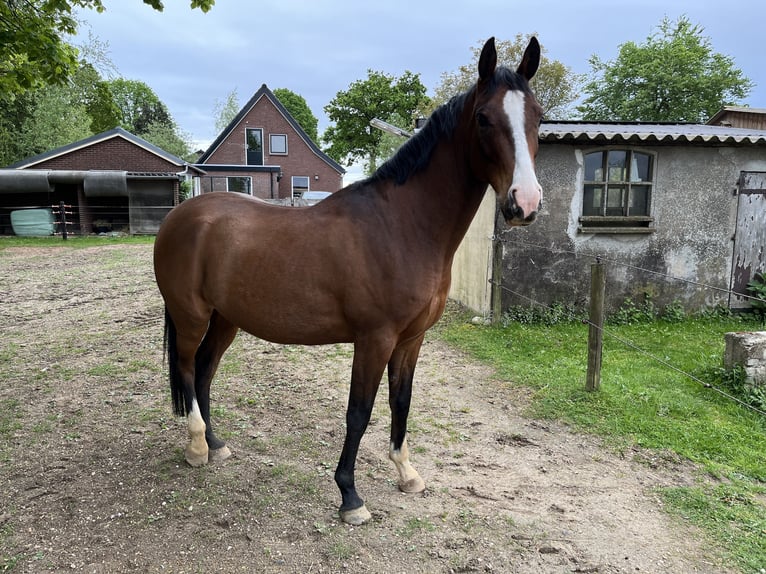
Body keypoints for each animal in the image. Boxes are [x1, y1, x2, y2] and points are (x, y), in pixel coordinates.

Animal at [153, 36, 543, 525]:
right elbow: (358, 412)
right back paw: (195, 447)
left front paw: (406, 473)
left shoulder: (411, 339)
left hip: (226, 318)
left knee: (205, 370)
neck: (402, 226)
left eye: (538, 116)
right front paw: (350, 496)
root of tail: (180, 216)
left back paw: (216, 444)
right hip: (191, 316)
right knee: (188, 368)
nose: (525, 203)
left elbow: (400, 402)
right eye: (484, 118)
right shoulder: (374, 338)